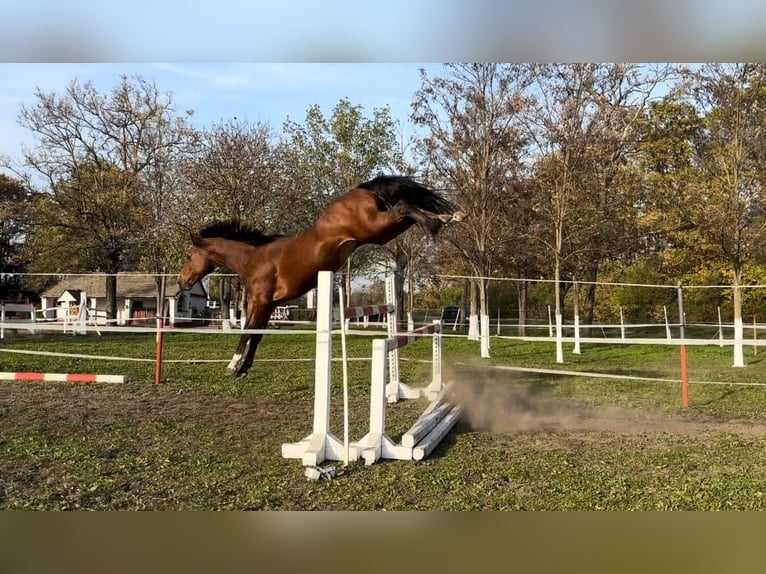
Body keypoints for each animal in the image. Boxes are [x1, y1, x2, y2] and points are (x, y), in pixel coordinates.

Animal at [177, 178, 464, 380]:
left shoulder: (259, 301)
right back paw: (448, 217)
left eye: (189, 255)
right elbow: (257, 336)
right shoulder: (269, 304)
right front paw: (244, 369)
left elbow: (248, 332)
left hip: (375, 227)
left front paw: (232, 366)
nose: (182, 282)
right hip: (382, 233)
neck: (254, 257)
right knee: (407, 208)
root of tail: (360, 189)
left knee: (404, 206)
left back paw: (438, 223)